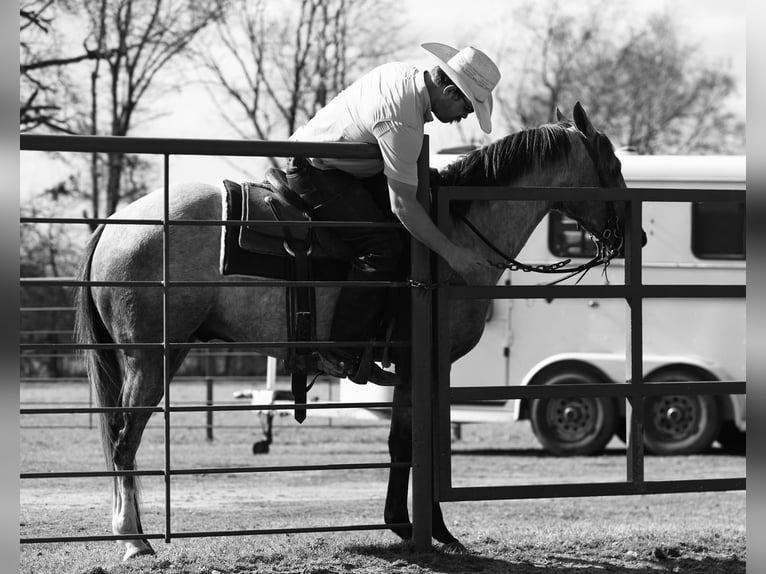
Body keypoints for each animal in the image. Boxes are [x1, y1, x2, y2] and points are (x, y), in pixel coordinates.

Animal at [75, 101, 640, 560]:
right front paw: (417, 528)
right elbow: (411, 444)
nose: (638, 237)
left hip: (161, 355)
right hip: (150, 359)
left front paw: (422, 528)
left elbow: (412, 443)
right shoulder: (420, 365)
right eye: (613, 165)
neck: (449, 235)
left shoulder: (422, 370)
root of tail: (116, 222)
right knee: (124, 440)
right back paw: (134, 541)